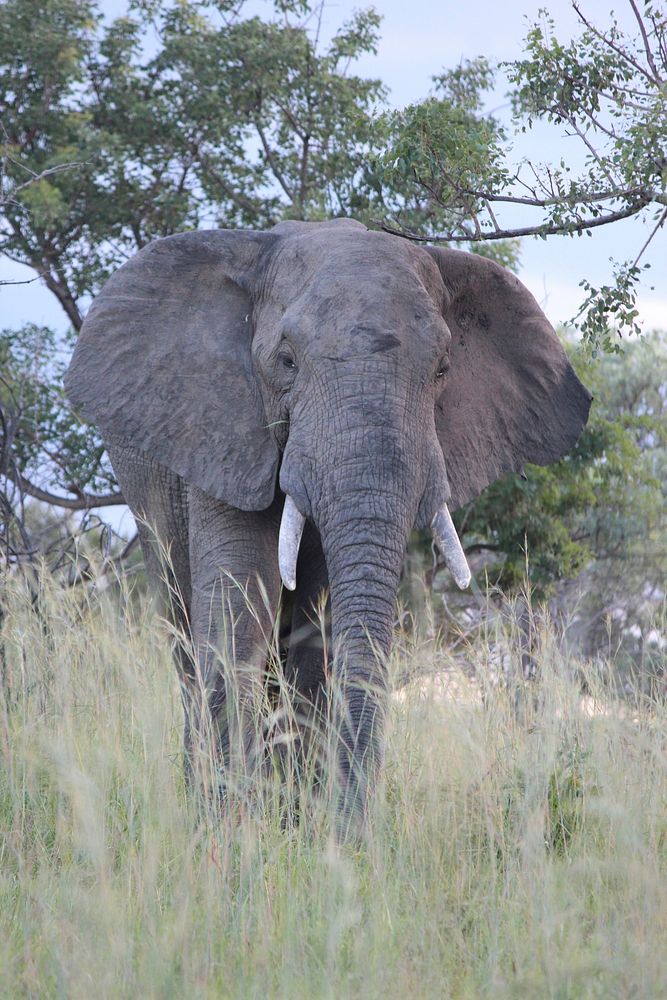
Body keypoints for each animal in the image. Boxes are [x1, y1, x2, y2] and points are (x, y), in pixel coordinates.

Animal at [65, 221, 592, 836]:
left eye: (442, 369)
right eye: (286, 361)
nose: (358, 833)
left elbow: (318, 629)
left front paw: (304, 830)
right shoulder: (223, 427)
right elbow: (239, 609)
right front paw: (229, 831)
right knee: (182, 624)